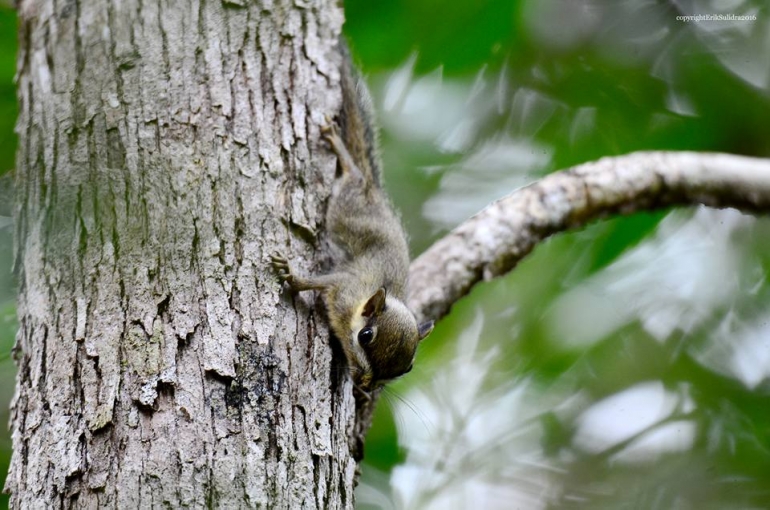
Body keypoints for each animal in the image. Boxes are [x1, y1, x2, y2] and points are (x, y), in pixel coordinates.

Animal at [272, 40, 432, 394]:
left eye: (407, 368)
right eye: (366, 335)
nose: (365, 385)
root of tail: (374, 192)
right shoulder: (342, 286)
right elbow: (314, 282)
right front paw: (290, 273)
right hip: (348, 205)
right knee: (353, 175)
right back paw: (342, 153)